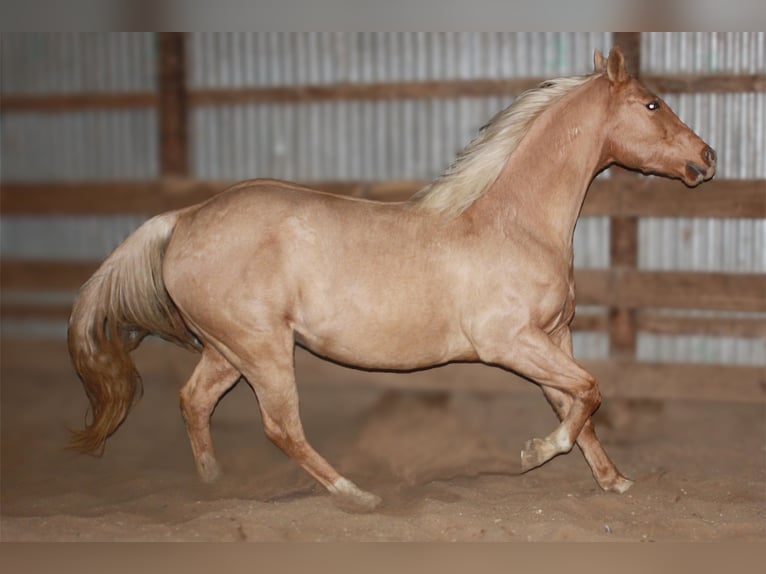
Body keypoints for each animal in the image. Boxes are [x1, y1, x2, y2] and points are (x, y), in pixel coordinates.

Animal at [69, 46, 716, 512]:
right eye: (653, 104)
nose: (707, 158)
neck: (516, 223)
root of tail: (183, 217)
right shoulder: (510, 343)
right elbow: (588, 393)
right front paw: (535, 454)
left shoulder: (554, 337)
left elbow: (577, 404)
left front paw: (615, 482)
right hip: (263, 349)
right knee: (281, 426)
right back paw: (356, 495)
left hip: (229, 350)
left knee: (194, 401)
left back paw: (212, 485)